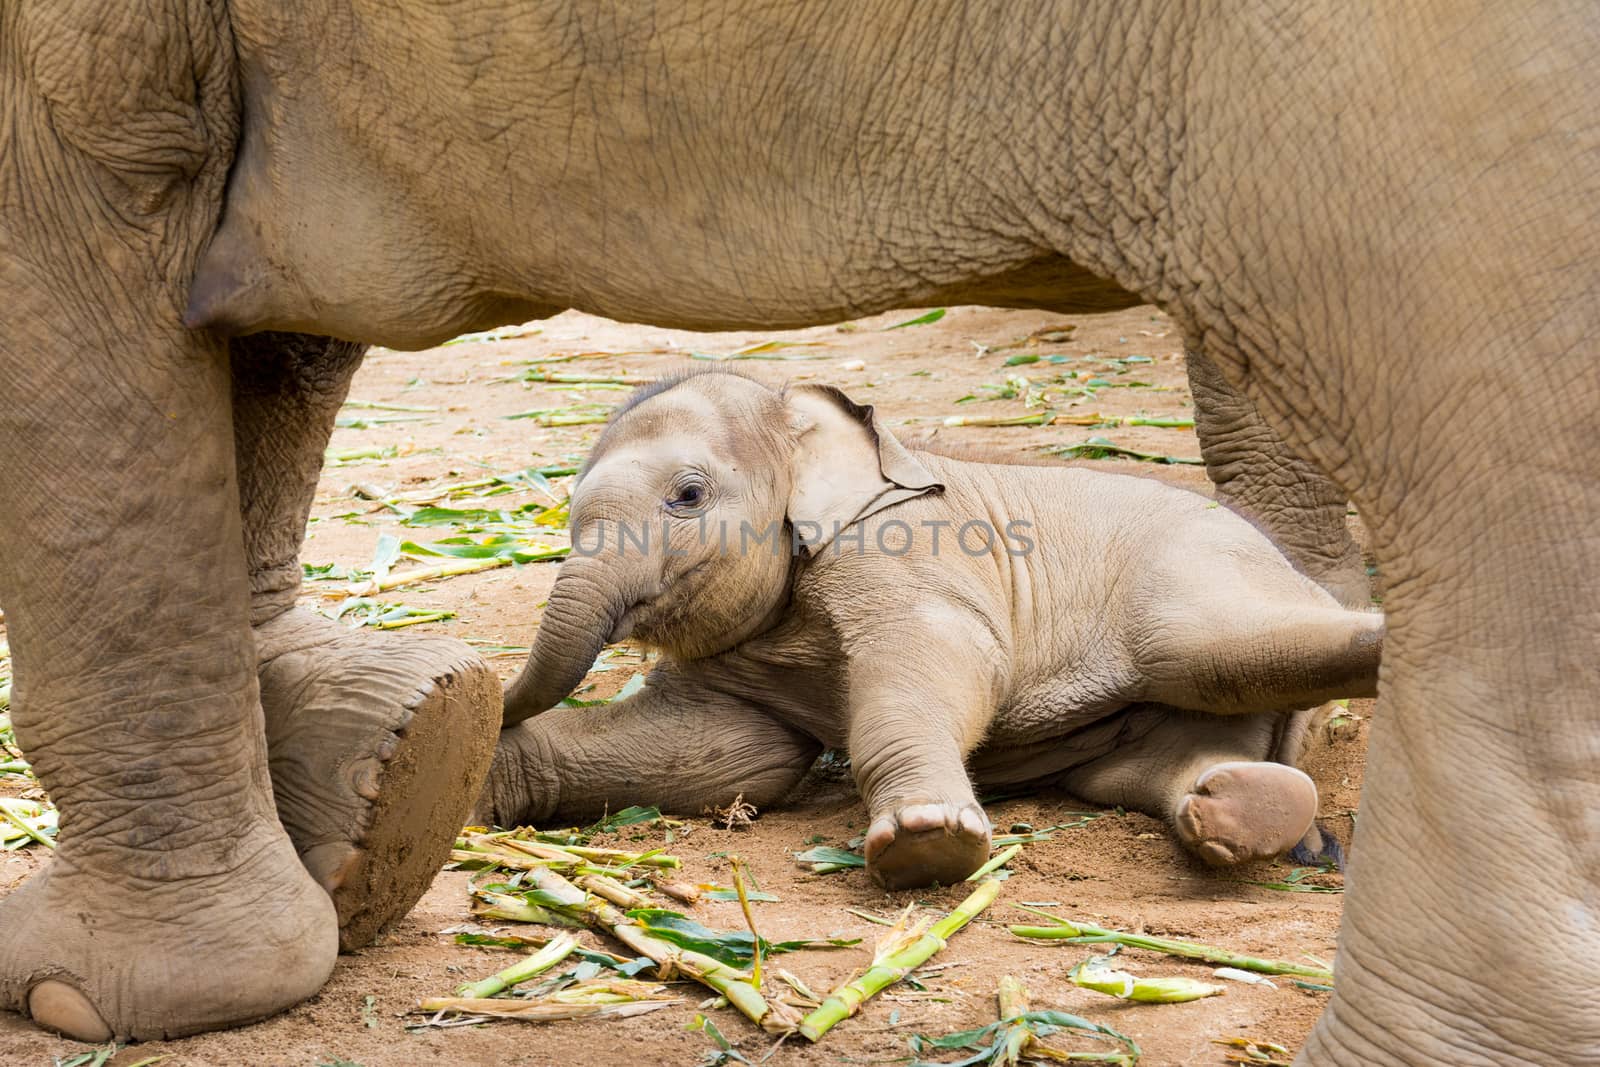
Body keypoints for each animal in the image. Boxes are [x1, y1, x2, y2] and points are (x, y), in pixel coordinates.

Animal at [476, 371, 1388, 889]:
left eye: (688, 495)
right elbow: (729, 756)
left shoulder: (904, 553)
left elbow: (943, 663)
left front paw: (927, 844)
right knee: (1162, 762)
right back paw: (1246, 812)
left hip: (1194, 581)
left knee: (1211, 650)